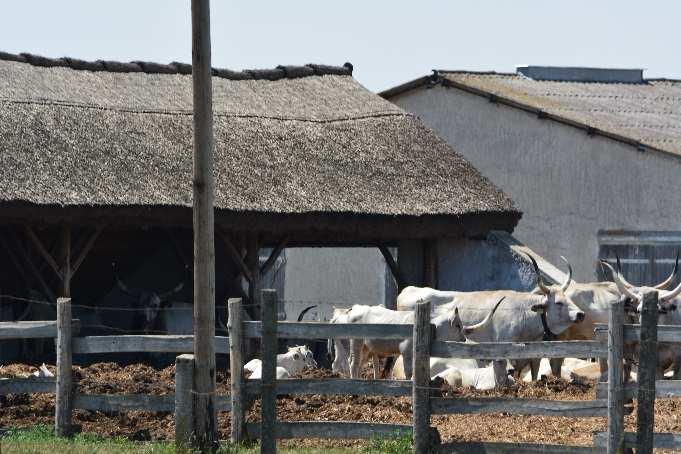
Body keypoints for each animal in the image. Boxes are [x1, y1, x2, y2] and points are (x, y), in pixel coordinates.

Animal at [346, 298, 504, 380]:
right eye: (457, 325)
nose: (463, 339)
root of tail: (356, 308)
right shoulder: (406, 351)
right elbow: (409, 372)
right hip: (356, 343)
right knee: (353, 363)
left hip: (367, 348)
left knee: (360, 364)